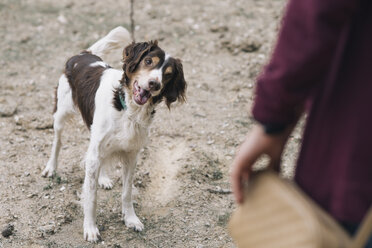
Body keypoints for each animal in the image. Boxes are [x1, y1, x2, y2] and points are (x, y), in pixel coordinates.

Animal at [41, 27, 186, 242]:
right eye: (148, 61)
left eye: (168, 75)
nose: (154, 84)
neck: (128, 110)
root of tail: (83, 54)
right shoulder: (96, 150)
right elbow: (91, 197)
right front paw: (90, 228)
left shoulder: (131, 155)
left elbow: (127, 192)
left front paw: (131, 219)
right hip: (61, 113)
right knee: (57, 142)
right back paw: (51, 168)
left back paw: (103, 178)